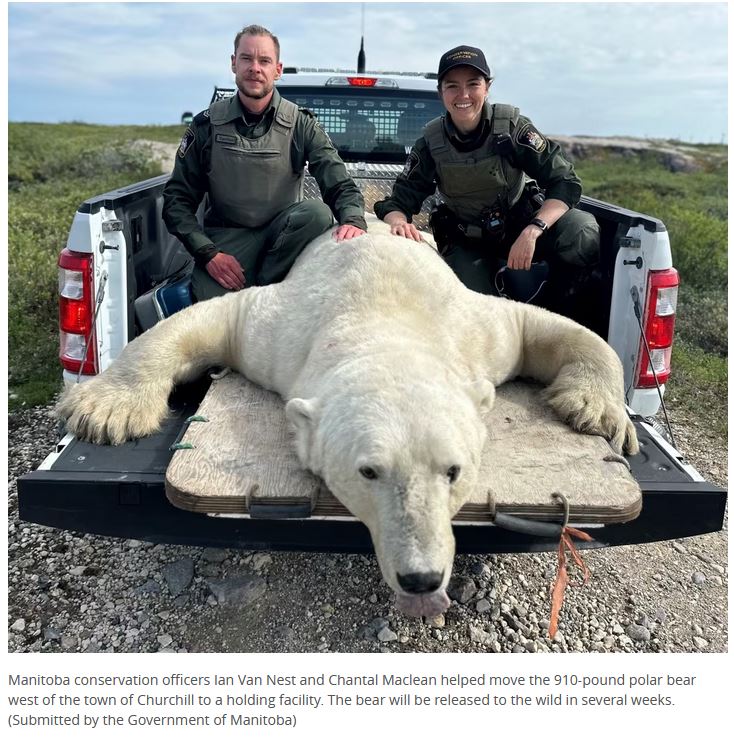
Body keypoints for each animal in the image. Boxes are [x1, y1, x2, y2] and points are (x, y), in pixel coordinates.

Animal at [57, 215, 638, 618]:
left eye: (454, 470)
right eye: (369, 471)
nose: (422, 579)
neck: (385, 313)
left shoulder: (475, 328)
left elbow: (546, 327)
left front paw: (596, 409)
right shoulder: (285, 332)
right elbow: (205, 320)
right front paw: (104, 409)